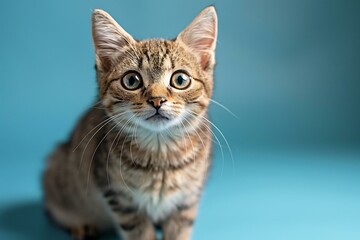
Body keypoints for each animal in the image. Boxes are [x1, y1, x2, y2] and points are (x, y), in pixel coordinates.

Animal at [42, 6, 217, 240]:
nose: (157, 100)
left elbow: (179, 229)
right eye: (132, 80)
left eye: (180, 80)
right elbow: (139, 231)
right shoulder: (118, 196)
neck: (161, 157)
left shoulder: (188, 198)